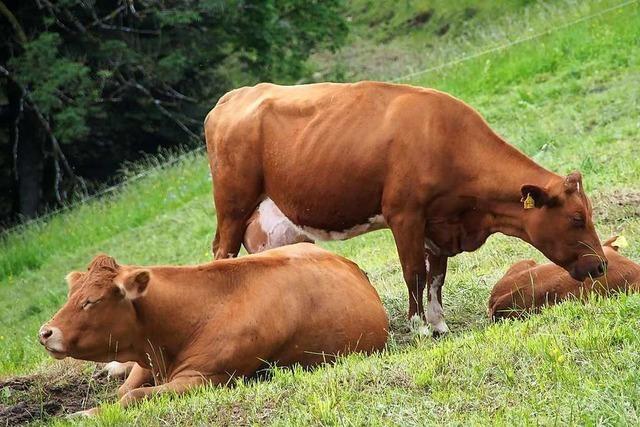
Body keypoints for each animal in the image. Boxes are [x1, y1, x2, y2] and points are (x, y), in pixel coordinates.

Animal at [41, 244, 390, 414]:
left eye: (91, 301)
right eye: (72, 294)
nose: (45, 332)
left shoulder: (206, 378)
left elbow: (130, 397)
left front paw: (82, 416)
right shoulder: (150, 361)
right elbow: (123, 391)